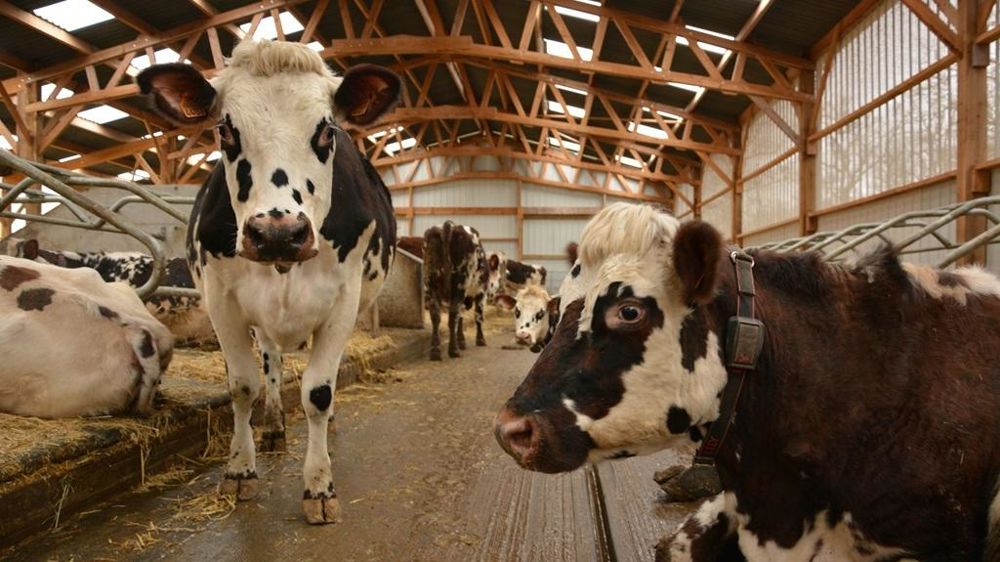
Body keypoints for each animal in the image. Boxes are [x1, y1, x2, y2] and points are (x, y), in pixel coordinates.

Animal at [137, 40, 399, 524]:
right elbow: (243, 385)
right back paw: (274, 426)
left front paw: (319, 486)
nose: (278, 232)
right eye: (225, 131)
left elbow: (318, 392)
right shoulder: (222, 300)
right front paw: (240, 470)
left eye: (327, 132)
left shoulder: (343, 301)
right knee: (272, 364)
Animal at [422, 221, 492, 360]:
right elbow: (478, 316)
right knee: (453, 314)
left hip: (431, 285)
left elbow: (461, 317)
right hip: (459, 285)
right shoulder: (482, 292)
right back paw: (453, 351)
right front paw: (480, 340)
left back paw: (435, 351)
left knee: (436, 316)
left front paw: (461, 341)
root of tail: (448, 225)